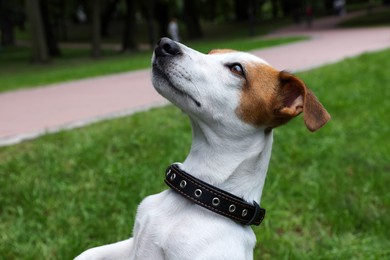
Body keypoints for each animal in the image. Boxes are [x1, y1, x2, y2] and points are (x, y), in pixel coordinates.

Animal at [75, 37, 330, 258]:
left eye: (236, 69)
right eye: (210, 53)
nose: (165, 43)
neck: (197, 193)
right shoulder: (129, 244)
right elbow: (87, 253)